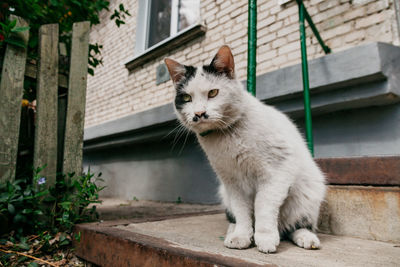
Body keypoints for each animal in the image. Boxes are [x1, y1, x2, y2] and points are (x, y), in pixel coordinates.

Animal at [164, 45, 326, 253]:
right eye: (186, 97)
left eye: (213, 93)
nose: (199, 113)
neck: (227, 136)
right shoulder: (232, 181)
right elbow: (242, 211)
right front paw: (241, 236)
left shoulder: (277, 172)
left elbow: (263, 205)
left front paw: (265, 238)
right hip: (224, 192)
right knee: (235, 216)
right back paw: (233, 232)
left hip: (309, 194)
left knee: (296, 226)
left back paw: (306, 238)